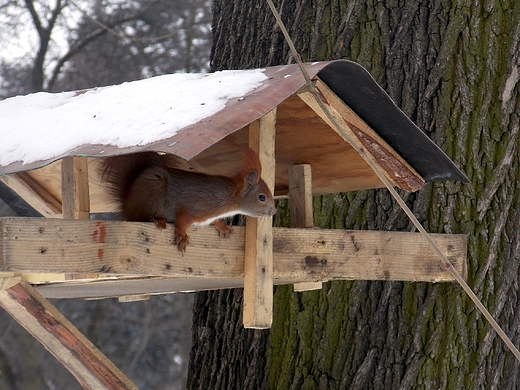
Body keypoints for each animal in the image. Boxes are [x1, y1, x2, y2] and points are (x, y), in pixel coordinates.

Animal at [102, 147, 280, 253]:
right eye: (262, 197)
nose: (274, 211)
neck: (228, 199)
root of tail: (128, 200)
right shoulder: (192, 207)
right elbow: (182, 221)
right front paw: (182, 237)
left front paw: (222, 226)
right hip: (153, 192)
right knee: (140, 216)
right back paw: (157, 219)